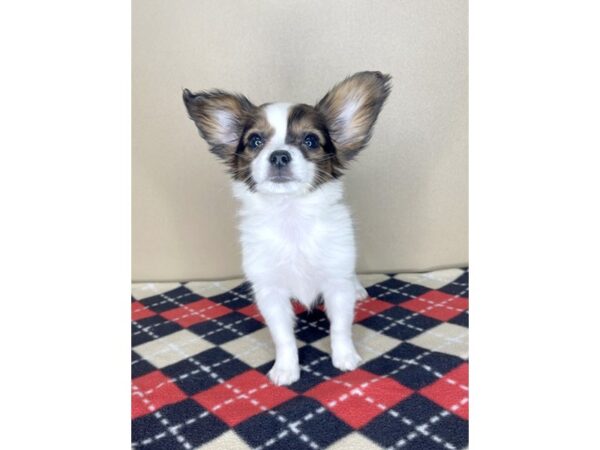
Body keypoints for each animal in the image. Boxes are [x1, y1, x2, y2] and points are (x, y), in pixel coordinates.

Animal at [180, 72, 392, 384]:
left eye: (310, 140)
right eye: (255, 141)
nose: (279, 155)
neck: (290, 215)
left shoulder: (335, 282)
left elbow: (340, 326)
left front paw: (345, 357)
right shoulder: (270, 292)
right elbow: (283, 337)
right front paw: (286, 369)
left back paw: (357, 289)